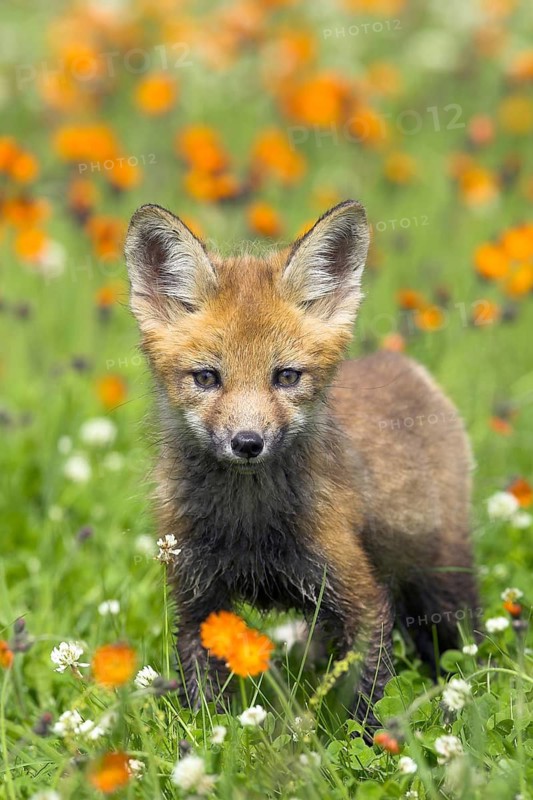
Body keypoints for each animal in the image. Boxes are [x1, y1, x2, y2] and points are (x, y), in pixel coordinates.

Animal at [125, 199, 479, 733]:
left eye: (286, 376)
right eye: (207, 378)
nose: (247, 443)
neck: (249, 528)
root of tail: (406, 367)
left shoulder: (361, 595)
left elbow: (368, 702)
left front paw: (370, 743)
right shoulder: (197, 597)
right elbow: (207, 706)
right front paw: (215, 741)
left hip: (442, 580)